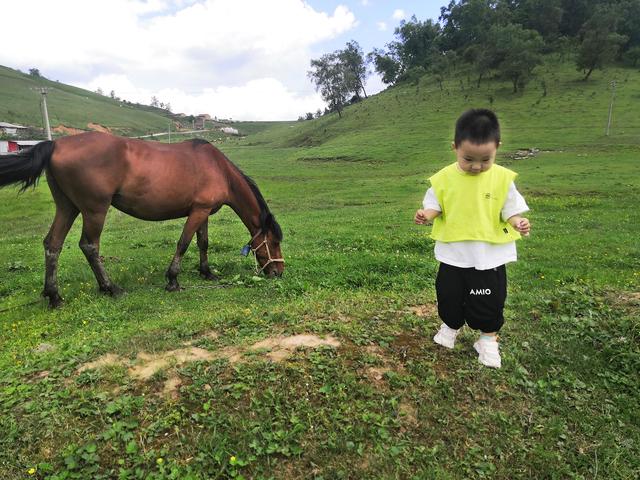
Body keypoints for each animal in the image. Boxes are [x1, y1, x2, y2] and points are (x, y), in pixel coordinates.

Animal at [0, 132, 284, 308]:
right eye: (273, 242)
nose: (278, 272)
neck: (218, 169)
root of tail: (56, 144)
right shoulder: (197, 212)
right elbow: (183, 243)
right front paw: (172, 280)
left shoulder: (202, 212)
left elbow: (203, 243)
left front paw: (207, 273)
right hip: (94, 210)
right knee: (89, 246)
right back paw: (110, 287)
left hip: (67, 208)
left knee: (53, 244)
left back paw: (54, 296)